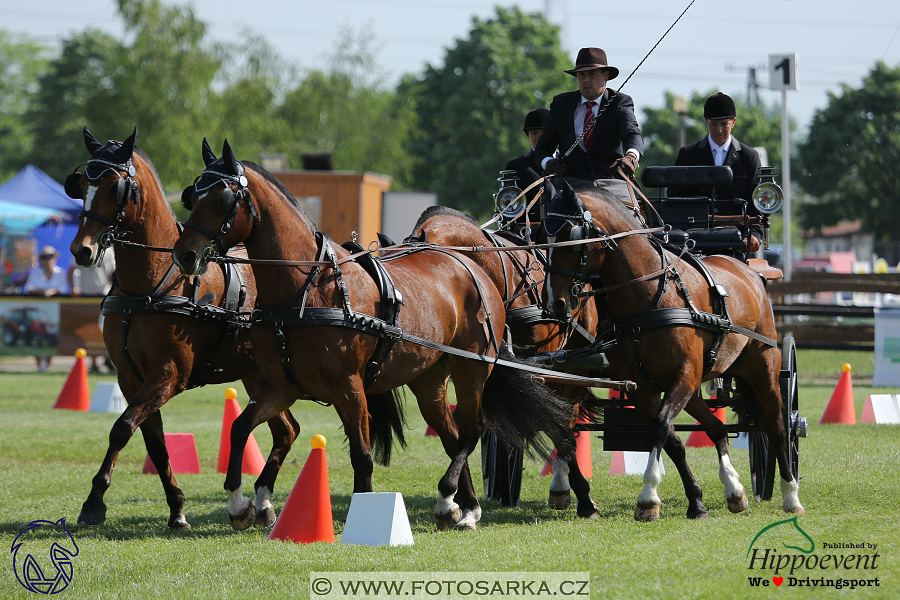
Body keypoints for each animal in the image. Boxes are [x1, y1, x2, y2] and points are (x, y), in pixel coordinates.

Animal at [65, 130, 302, 528]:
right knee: (287, 431)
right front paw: (176, 508)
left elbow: (121, 428)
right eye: (81, 184)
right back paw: (264, 504)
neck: (149, 287)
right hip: (258, 375)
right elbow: (155, 443)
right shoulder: (131, 378)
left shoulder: (167, 375)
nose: (82, 250)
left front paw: (94, 501)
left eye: (115, 186)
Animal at [170, 139, 576, 528]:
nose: (184, 255)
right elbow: (240, 429)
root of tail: (473, 268)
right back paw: (460, 505)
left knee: (473, 428)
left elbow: (362, 456)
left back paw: (454, 500)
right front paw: (241, 503)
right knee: (451, 434)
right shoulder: (280, 386)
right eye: (191, 194)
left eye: (222, 198)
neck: (308, 288)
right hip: (429, 379)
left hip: (472, 369)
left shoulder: (349, 387)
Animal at [540, 186, 800, 520]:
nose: (554, 304)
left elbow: (660, 428)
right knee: (716, 428)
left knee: (777, 426)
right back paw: (734, 490)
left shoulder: (682, 376)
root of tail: (747, 271)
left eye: (571, 236)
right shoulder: (643, 387)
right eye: (542, 237)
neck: (651, 297)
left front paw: (648, 496)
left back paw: (790, 495)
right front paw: (694, 501)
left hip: (763, 368)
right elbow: (671, 438)